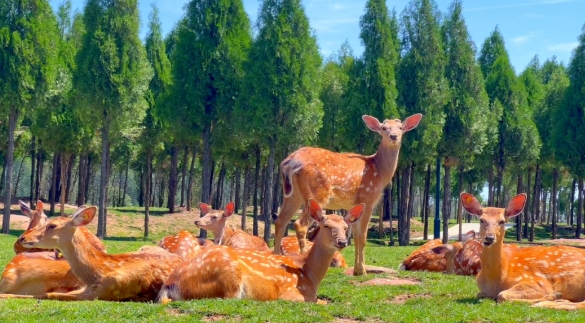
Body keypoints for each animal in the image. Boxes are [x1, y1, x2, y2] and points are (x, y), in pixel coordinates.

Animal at [0, 206, 181, 302]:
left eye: (52, 225)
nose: (23, 238)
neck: (96, 274)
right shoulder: (84, 288)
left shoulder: (108, 291)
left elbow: (48, 294)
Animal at [157, 200, 362, 304]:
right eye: (326, 226)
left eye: (345, 227)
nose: (342, 242)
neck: (309, 275)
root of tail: (169, 285)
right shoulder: (291, 293)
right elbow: (321, 301)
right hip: (228, 278)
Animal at [272, 113, 422, 276]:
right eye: (384, 128)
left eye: (400, 128)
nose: (394, 136)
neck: (380, 172)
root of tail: (289, 163)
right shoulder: (368, 198)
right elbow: (362, 237)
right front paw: (363, 271)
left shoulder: (354, 204)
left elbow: (355, 236)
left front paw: (357, 270)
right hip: (317, 192)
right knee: (300, 224)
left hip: (292, 195)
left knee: (280, 221)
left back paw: (276, 258)